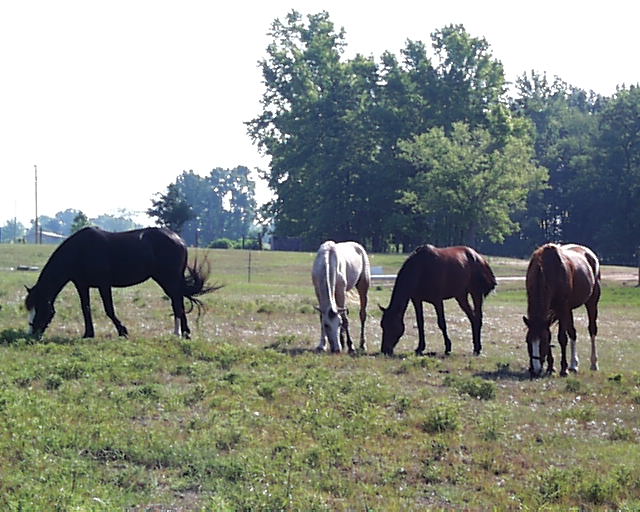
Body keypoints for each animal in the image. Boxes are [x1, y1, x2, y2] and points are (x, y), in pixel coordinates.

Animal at [24, 226, 218, 338]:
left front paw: (122, 331)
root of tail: (178, 239)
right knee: (178, 302)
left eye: (40, 308)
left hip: (168, 279)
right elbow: (86, 308)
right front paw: (88, 334)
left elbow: (109, 309)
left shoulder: (104, 284)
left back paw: (179, 333)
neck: (80, 251)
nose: (32, 334)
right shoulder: (82, 285)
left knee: (177, 302)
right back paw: (184, 333)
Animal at [524, 244, 604, 376]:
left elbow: (562, 338)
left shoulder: (562, 308)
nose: (535, 369)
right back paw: (573, 365)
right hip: (569, 310)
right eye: (528, 341)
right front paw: (551, 367)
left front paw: (563, 369)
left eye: (543, 342)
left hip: (591, 302)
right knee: (573, 332)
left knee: (592, 329)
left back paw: (593, 363)